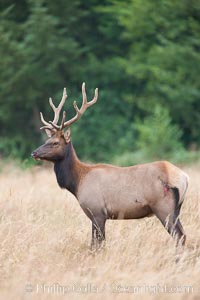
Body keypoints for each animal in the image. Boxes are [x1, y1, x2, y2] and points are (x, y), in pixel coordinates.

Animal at [31, 82, 189, 248]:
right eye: (46, 140)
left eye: (55, 143)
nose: (34, 153)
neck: (78, 182)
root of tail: (184, 178)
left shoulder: (97, 212)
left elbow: (96, 245)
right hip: (176, 209)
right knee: (183, 235)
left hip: (164, 208)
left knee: (179, 236)